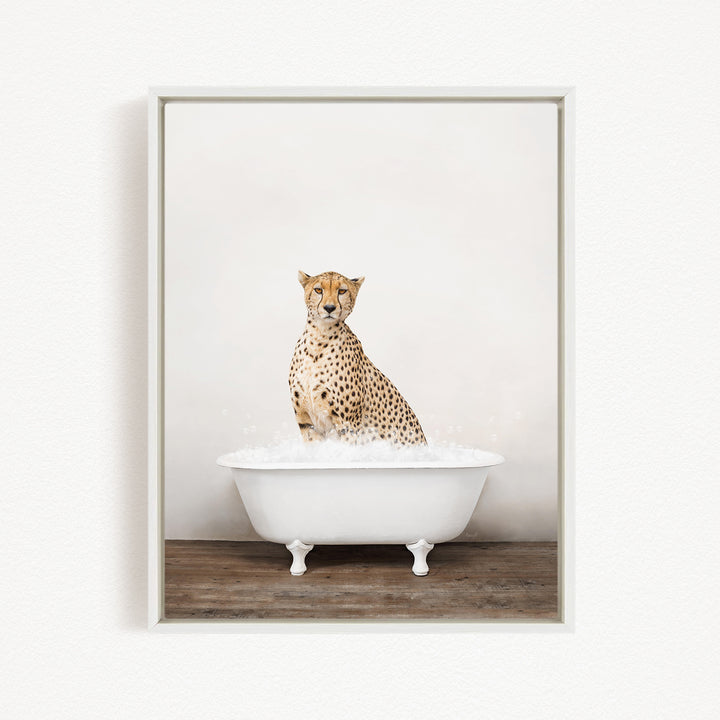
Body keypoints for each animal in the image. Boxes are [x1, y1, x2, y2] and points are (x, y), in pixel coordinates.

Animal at [289, 270, 427, 446]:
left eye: (342, 291)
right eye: (318, 290)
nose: (329, 308)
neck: (319, 337)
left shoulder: (347, 424)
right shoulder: (306, 422)